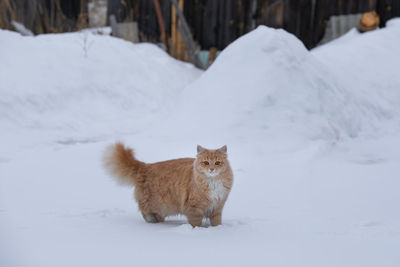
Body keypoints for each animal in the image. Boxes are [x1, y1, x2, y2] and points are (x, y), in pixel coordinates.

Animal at [102, 142, 234, 228]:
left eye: (217, 163)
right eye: (206, 162)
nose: (211, 169)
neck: (213, 182)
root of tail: (145, 166)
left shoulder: (218, 206)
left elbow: (216, 222)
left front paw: (217, 229)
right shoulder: (195, 207)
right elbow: (195, 223)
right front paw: (198, 230)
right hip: (156, 204)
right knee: (145, 212)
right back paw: (153, 222)